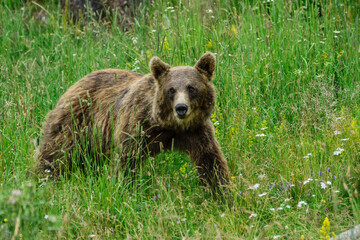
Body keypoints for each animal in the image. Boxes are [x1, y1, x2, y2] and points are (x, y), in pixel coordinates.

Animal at [36, 52, 231, 193]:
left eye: (191, 88)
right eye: (171, 89)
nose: (181, 108)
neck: (169, 125)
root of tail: (76, 83)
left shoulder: (196, 130)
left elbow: (210, 160)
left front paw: (222, 192)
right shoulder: (138, 125)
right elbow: (127, 158)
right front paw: (125, 187)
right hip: (76, 122)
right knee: (55, 152)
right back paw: (43, 178)